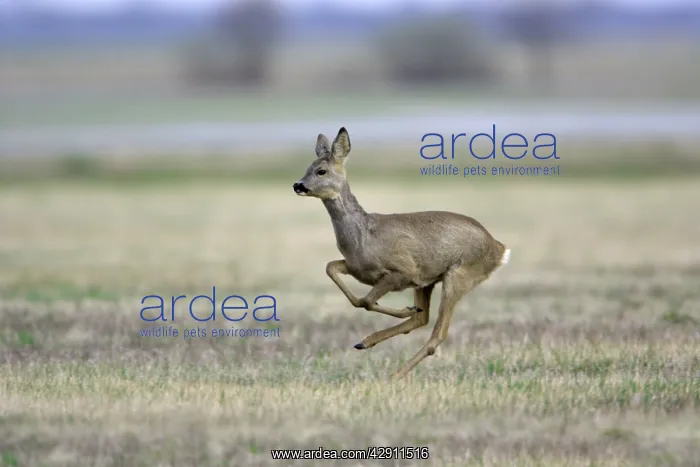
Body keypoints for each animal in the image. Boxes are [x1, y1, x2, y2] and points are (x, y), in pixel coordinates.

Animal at [292, 127, 511, 380]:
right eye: (308, 167)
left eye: (321, 170)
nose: (298, 185)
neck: (363, 236)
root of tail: (499, 249)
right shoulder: (358, 268)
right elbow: (333, 271)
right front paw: (406, 310)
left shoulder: (404, 271)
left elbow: (367, 300)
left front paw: (403, 310)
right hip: (429, 281)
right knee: (423, 318)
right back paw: (366, 342)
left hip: (459, 275)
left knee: (438, 333)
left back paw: (393, 375)